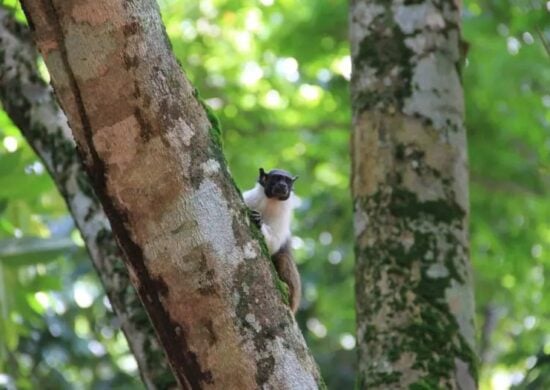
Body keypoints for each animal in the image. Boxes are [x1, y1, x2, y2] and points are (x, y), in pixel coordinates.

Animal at [245, 168, 302, 314]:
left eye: (287, 180)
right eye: (276, 178)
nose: (283, 185)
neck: (271, 202)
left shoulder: (283, 215)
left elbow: (275, 244)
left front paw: (259, 223)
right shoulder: (249, 199)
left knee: (283, 258)